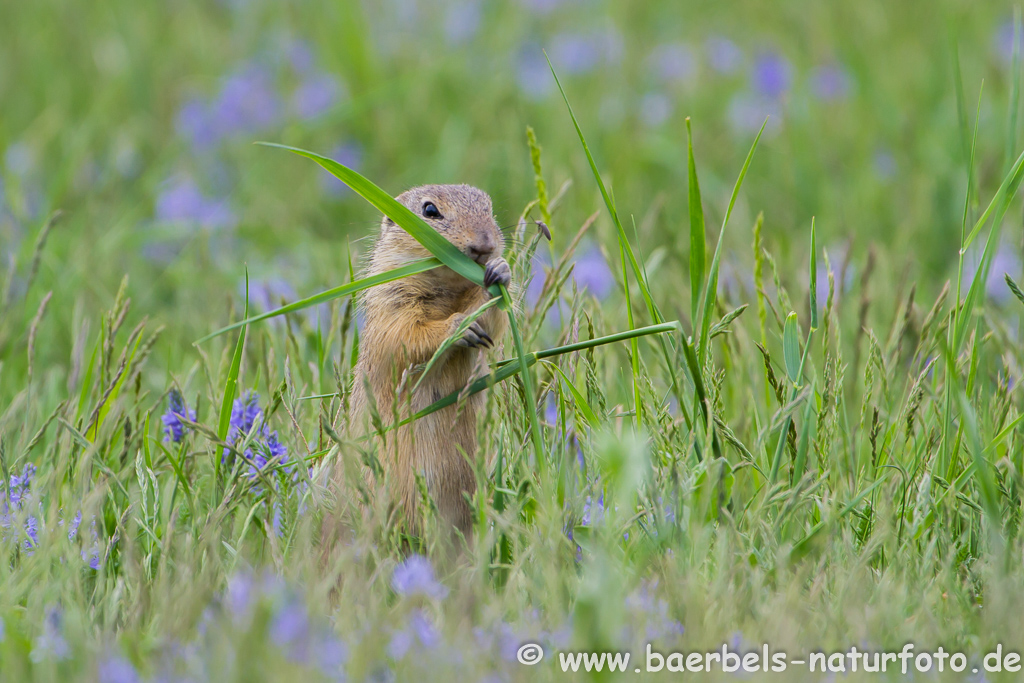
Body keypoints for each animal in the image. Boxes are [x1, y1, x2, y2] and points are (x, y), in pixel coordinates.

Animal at [346, 184, 509, 540]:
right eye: (430, 211)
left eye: (490, 208)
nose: (485, 245)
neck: (447, 289)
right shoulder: (391, 301)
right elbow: (404, 337)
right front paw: (457, 326)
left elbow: (492, 322)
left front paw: (501, 270)